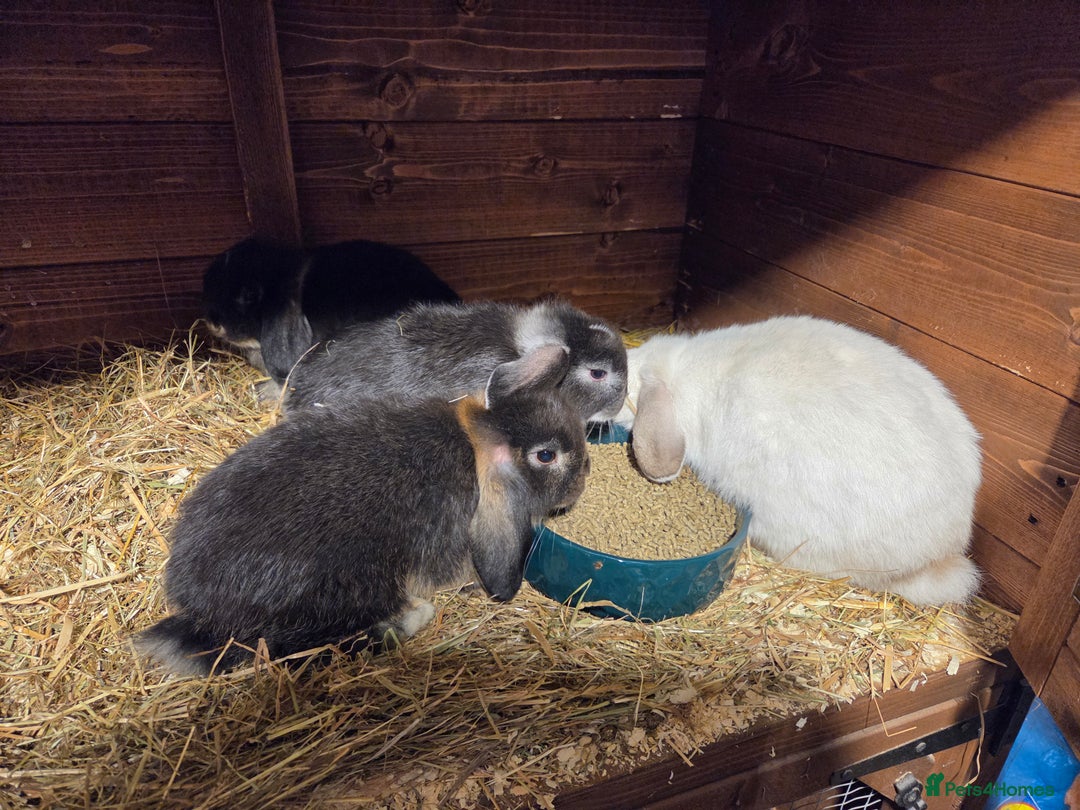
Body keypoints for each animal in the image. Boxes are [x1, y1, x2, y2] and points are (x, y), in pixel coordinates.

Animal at [135, 343, 590, 676]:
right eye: (546, 456)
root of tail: (203, 614)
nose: (585, 473)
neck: (475, 443)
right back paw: (413, 616)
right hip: (347, 591)